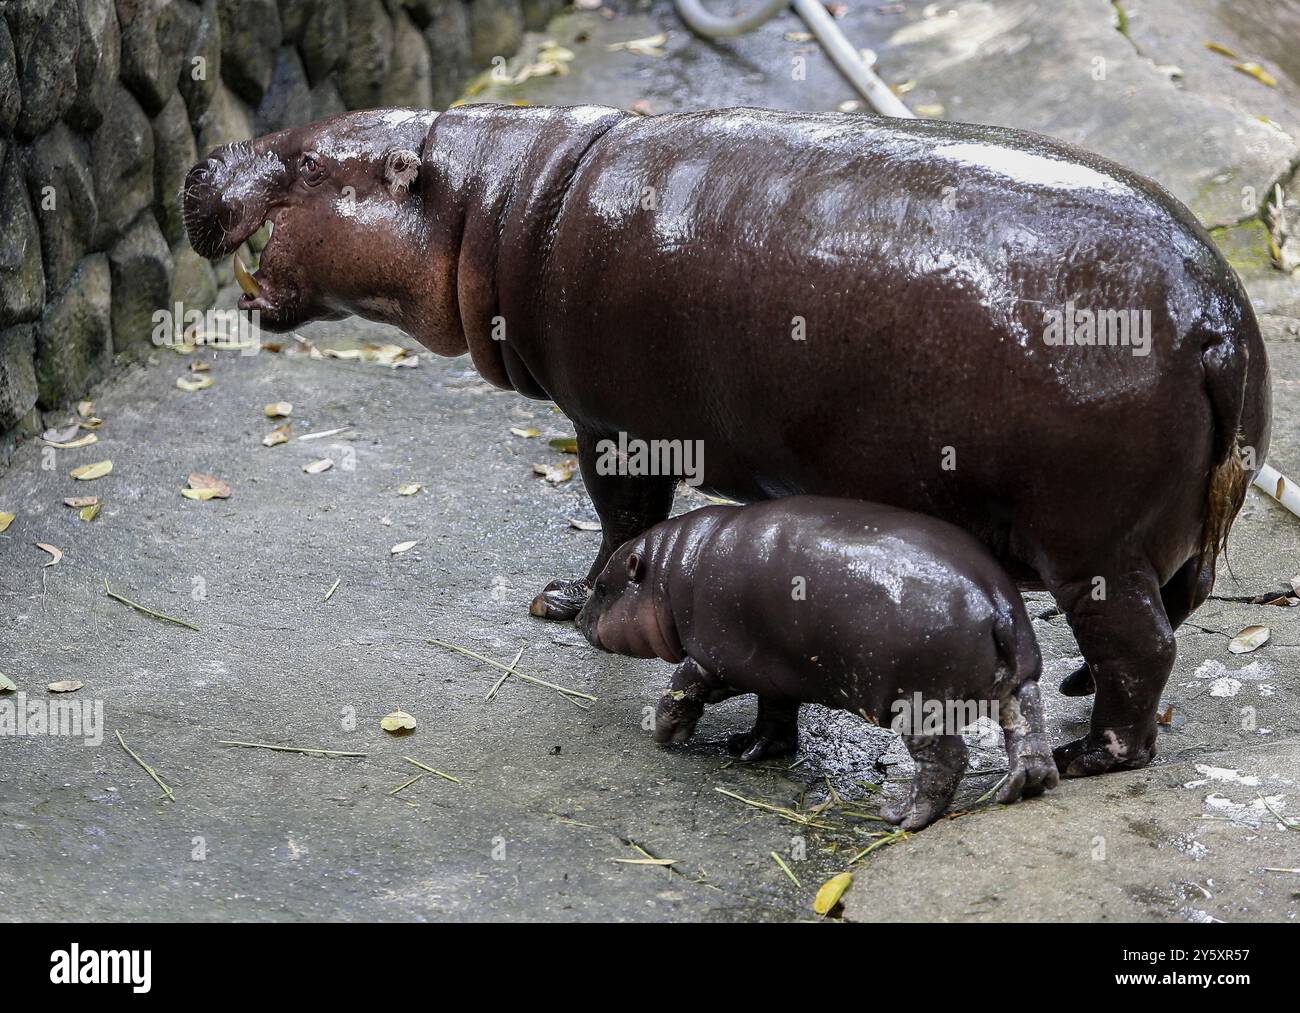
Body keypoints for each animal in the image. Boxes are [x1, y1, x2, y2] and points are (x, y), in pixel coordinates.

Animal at [183, 102, 1268, 780]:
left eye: (309, 161)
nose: (196, 166)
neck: (489, 198)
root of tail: (1216, 314)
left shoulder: (610, 423)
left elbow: (621, 516)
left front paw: (566, 599)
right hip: (1156, 537)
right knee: (1168, 612)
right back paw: (1080, 691)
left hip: (1088, 542)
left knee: (1145, 645)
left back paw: (1092, 756)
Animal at [577, 494, 1055, 827]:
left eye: (601, 586)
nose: (579, 620)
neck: (672, 568)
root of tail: (994, 603)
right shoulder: (771, 668)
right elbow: (775, 713)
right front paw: (750, 748)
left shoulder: (718, 658)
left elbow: (685, 685)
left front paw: (665, 733)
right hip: (1019, 681)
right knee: (1026, 725)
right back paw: (1024, 786)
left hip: (919, 705)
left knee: (947, 759)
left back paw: (903, 817)